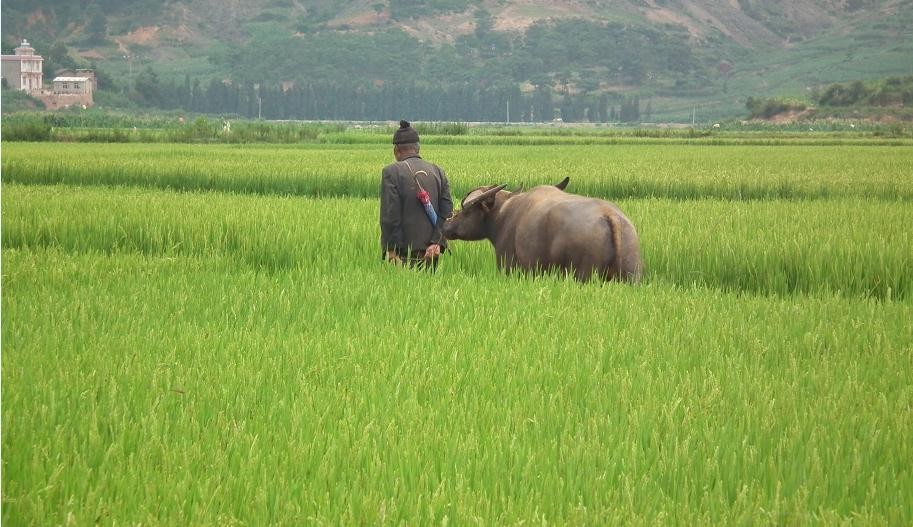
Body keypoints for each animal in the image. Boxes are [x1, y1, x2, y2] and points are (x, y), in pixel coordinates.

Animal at [442, 177, 640, 282]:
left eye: (466, 210)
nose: (446, 225)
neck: (502, 214)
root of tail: (609, 215)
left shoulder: (508, 265)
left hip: (585, 274)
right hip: (631, 274)